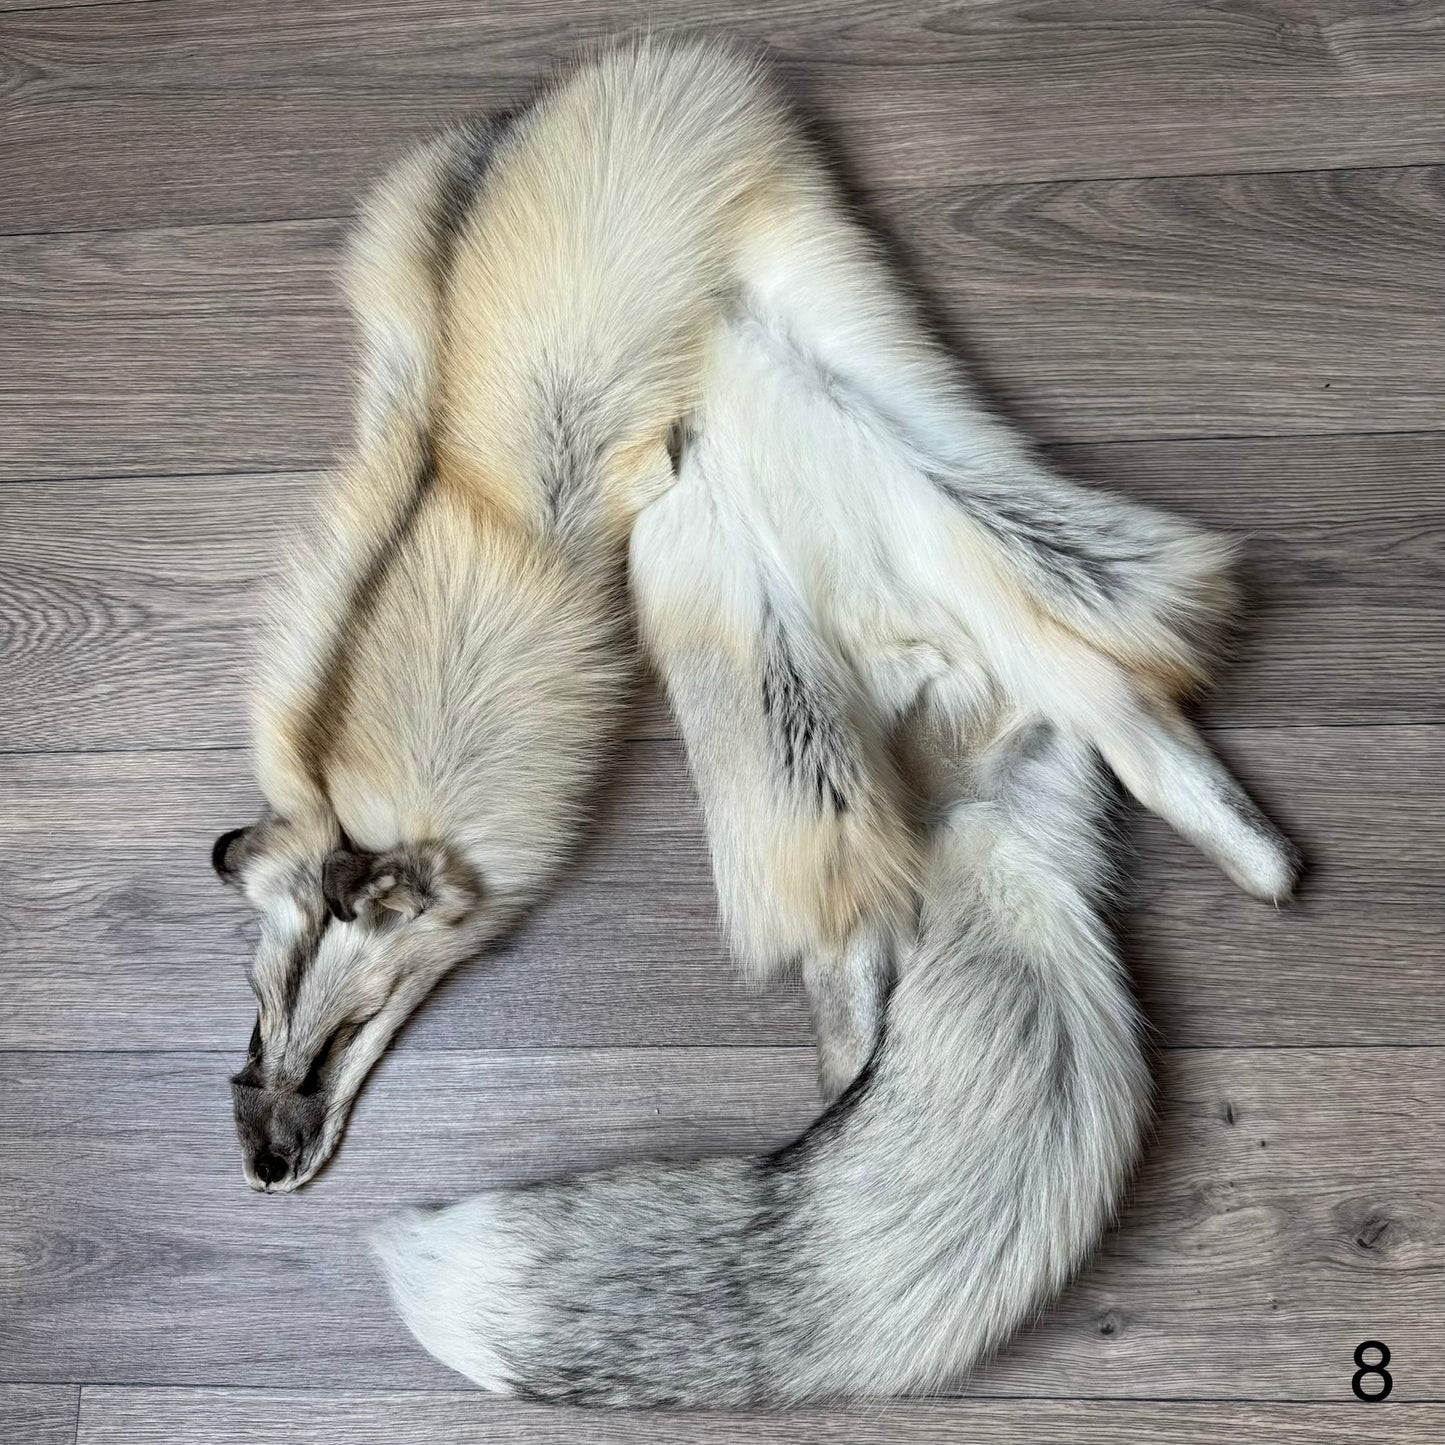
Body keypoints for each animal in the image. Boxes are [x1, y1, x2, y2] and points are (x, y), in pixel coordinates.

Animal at [211, 40, 1299, 1402]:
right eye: (257, 1027)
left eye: (346, 1031)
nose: (263, 1164)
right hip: (867, 612)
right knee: (1106, 709)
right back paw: (1246, 849)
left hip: (764, 625)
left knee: (884, 917)